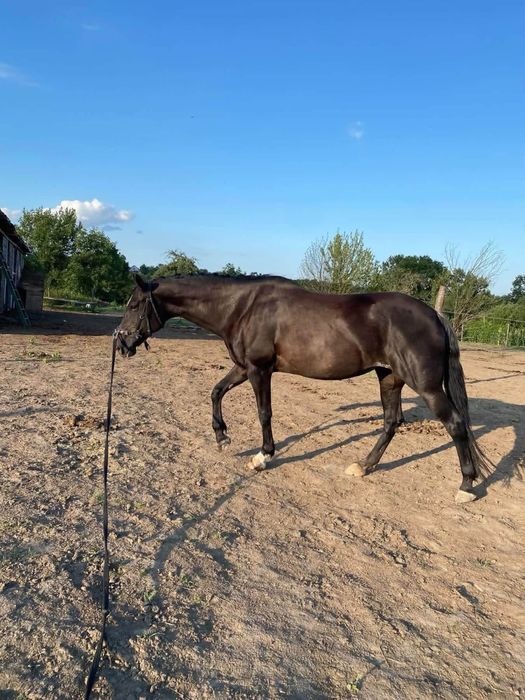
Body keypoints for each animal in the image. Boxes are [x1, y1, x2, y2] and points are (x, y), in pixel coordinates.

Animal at [116, 273, 491, 503]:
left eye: (133, 305)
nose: (121, 343)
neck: (242, 307)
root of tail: (434, 315)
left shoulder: (259, 370)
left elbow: (264, 413)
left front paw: (263, 457)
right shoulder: (243, 367)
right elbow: (216, 391)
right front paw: (222, 436)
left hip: (425, 385)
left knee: (455, 425)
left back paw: (466, 487)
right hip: (388, 377)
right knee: (391, 422)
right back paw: (363, 466)